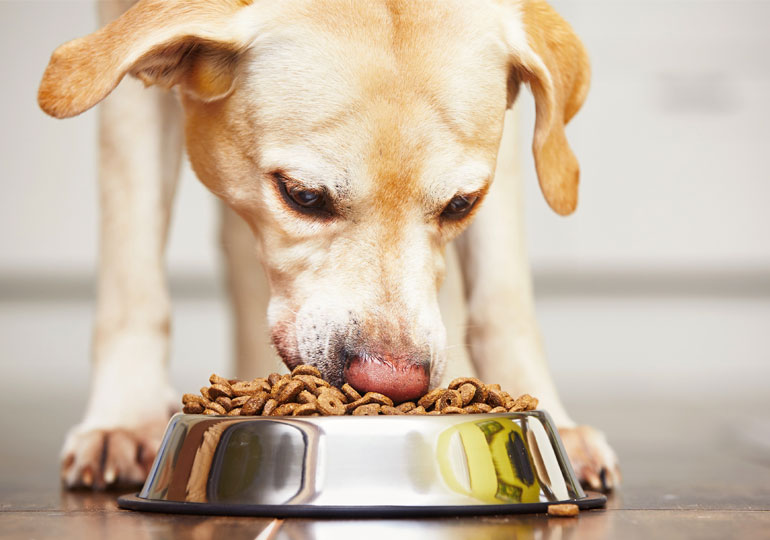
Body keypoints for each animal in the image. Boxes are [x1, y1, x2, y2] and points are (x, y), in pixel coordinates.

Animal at [39, 0, 620, 492]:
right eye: (303, 196)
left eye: (461, 204)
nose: (393, 383)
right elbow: (132, 272)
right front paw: (126, 418)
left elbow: (504, 296)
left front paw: (548, 417)